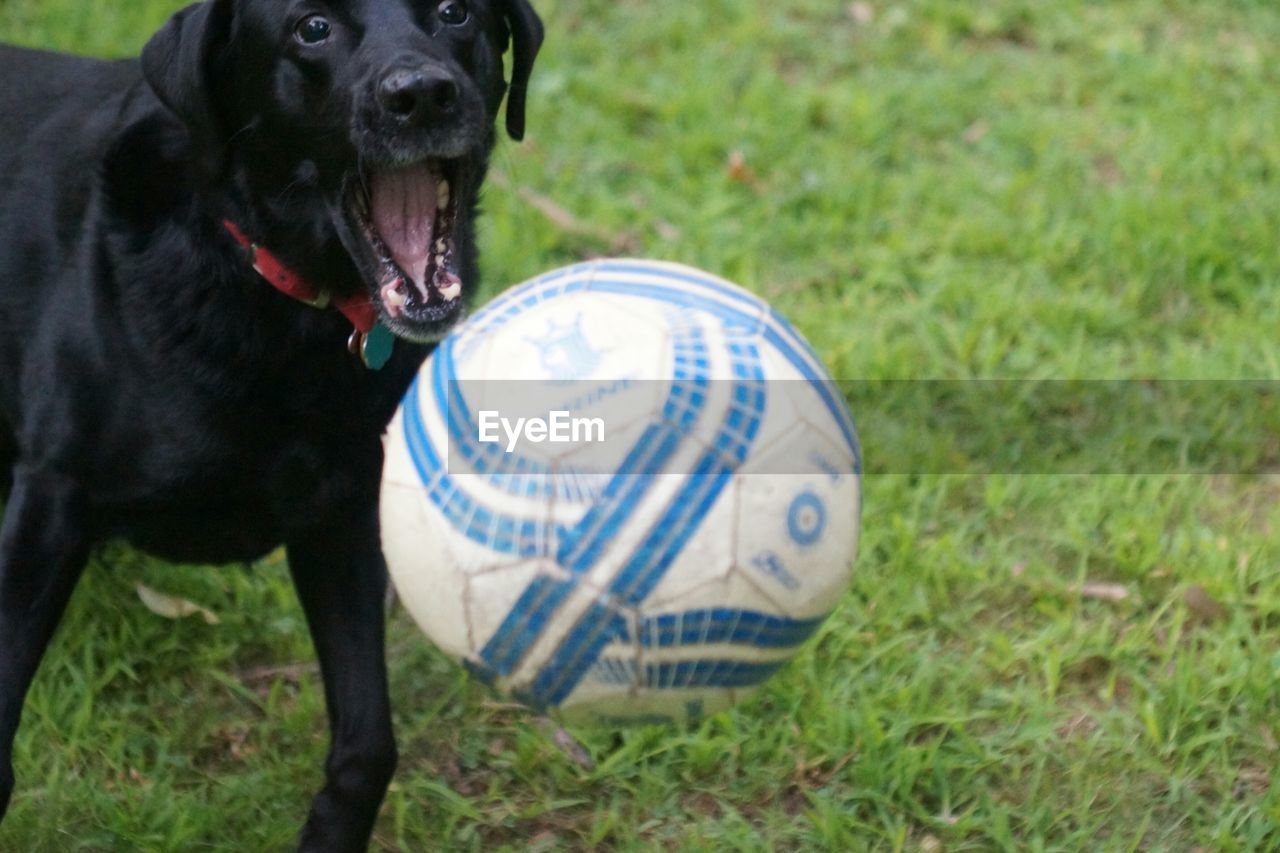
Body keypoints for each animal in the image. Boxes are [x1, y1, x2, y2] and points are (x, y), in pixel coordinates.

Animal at [0, 1, 540, 845]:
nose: (422, 95)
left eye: (456, 13)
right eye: (311, 27)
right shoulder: (52, 501)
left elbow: (367, 746)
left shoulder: (339, 517)